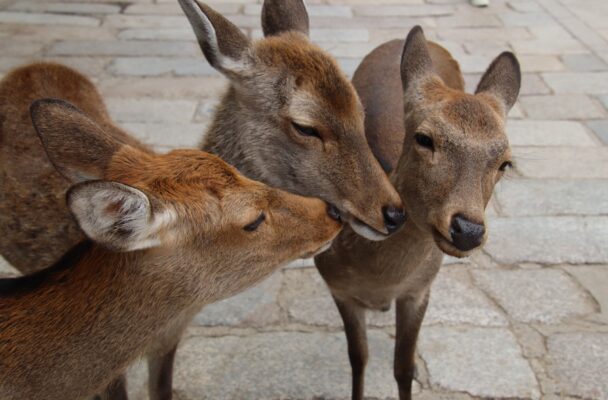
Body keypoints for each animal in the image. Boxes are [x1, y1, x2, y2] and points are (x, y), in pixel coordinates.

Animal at [314, 25, 524, 400]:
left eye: (505, 162)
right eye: (424, 138)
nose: (468, 230)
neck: (378, 276)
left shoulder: (420, 288)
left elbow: (404, 367)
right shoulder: (337, 287)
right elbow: (358, 358)